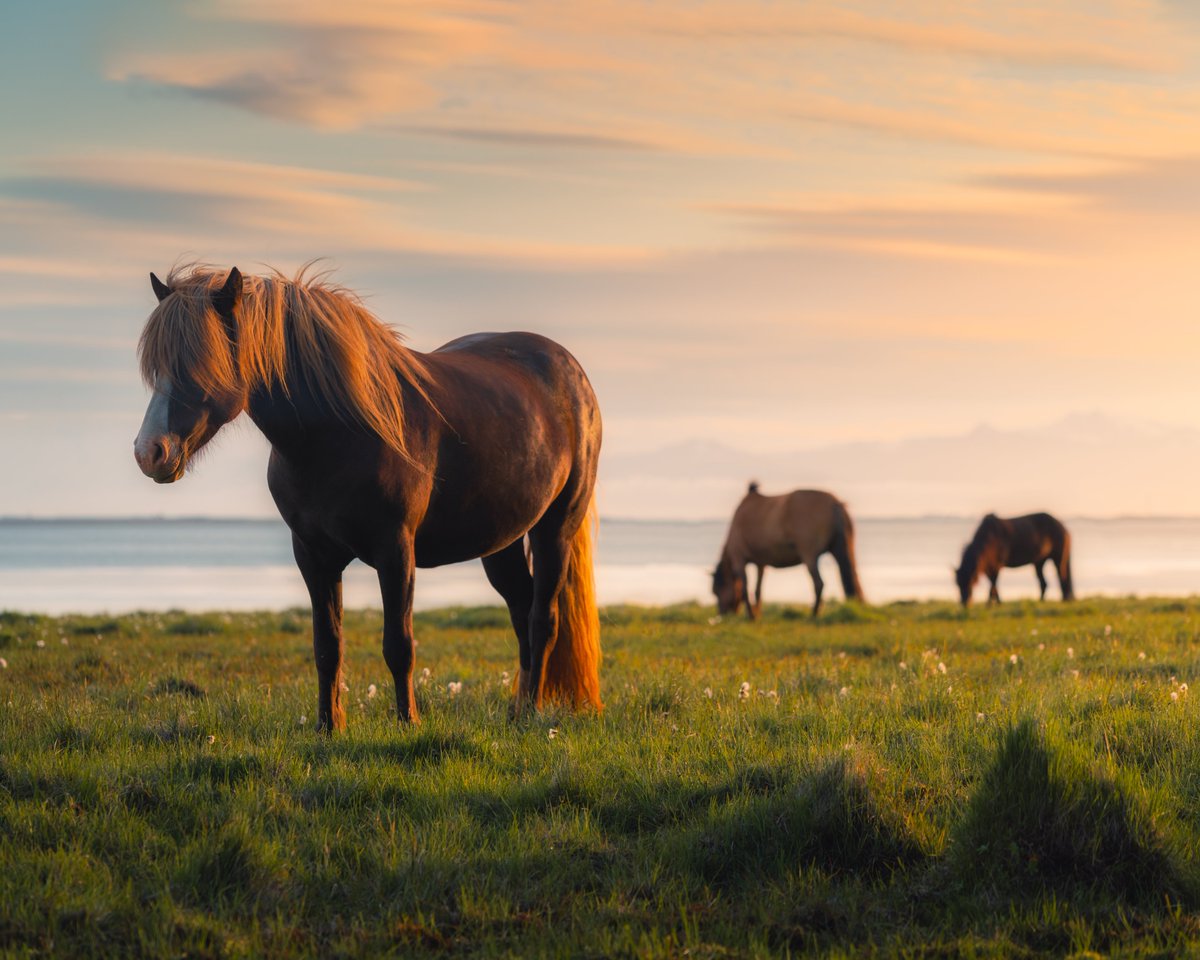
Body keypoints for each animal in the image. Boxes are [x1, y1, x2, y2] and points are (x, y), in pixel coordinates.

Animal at [134, 264, 603, 730]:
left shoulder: (395, 550)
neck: (338, 434)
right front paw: (328, 727)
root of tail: (572, 373)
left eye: (198, 363)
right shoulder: (313, 555)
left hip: (554, 530)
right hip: (501, 541)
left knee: (543, 620)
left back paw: (533, 711)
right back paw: (518, 709)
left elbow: (399, 644)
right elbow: (327, 646)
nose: (148, 452)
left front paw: (408, 723)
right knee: (521, 610)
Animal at [712, 483, 865, 619]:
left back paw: (813, 615)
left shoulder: (738, 558)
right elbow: (757, 590)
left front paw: (751, 616)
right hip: (840, 549)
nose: (722, 614)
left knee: (819, 583)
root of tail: (835, 502)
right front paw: (757, 614)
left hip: (809, 554)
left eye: (716, 591)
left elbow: (744, 589)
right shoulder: (761, 563)